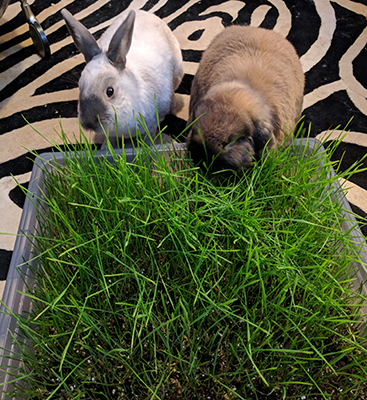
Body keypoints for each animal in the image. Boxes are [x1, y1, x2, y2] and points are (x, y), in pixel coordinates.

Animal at [61, 8, 185, 145]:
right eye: (79, 87)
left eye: (110, 91)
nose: (89, 124)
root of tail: (144, 11)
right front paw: (106, 147)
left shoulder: (151, 125)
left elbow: (149, 138)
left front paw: (148, 146)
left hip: (177, 74)